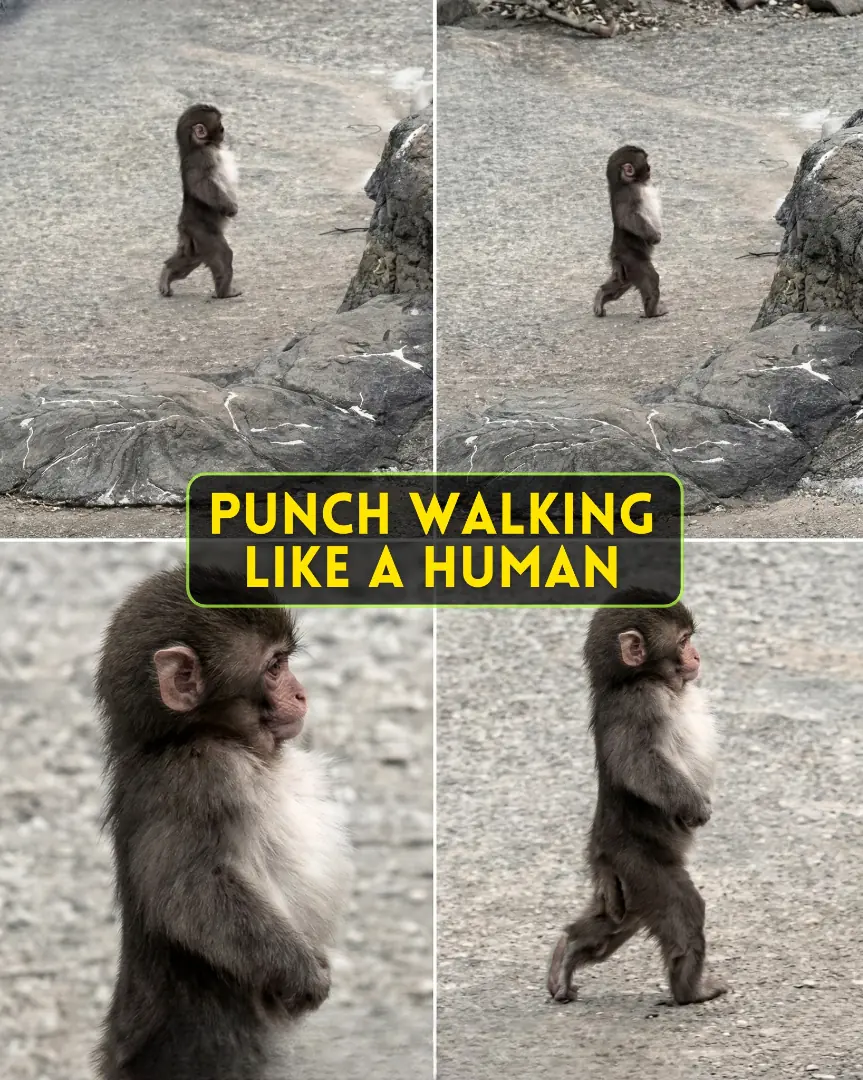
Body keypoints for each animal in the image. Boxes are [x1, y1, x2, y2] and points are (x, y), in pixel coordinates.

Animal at [159, 104, 242, 300]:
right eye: (219, 126)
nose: (224, 131)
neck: (198, 145)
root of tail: (183, 225)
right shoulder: (201, 157)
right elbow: (202, 183)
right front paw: (230, 208)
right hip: (201, 231)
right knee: (222, 255)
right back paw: (224, 292)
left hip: (194, 242)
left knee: (189, 260)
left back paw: (167, 272)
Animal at [546, 589, 727, 1008]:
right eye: (683, 641)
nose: (697, 656)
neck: (639, 678)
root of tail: (599, 853)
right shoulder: (638, 702)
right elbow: (640, 762)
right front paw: (695, 807)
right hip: (636, 861)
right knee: (681, 908)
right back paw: (689, 991)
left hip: (624, 883)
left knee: (616, 922)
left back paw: (569, 948)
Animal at [593, 145, 668, 319]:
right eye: (645, 163)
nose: (650, 168)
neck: (625, 183)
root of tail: (615, 254)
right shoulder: (628, 193)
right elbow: (628, 217)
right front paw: (655, 237)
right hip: (630, 257)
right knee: (650, 278)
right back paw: (652, 312)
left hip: (624, 267)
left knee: (621, 283)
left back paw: (602, 294)